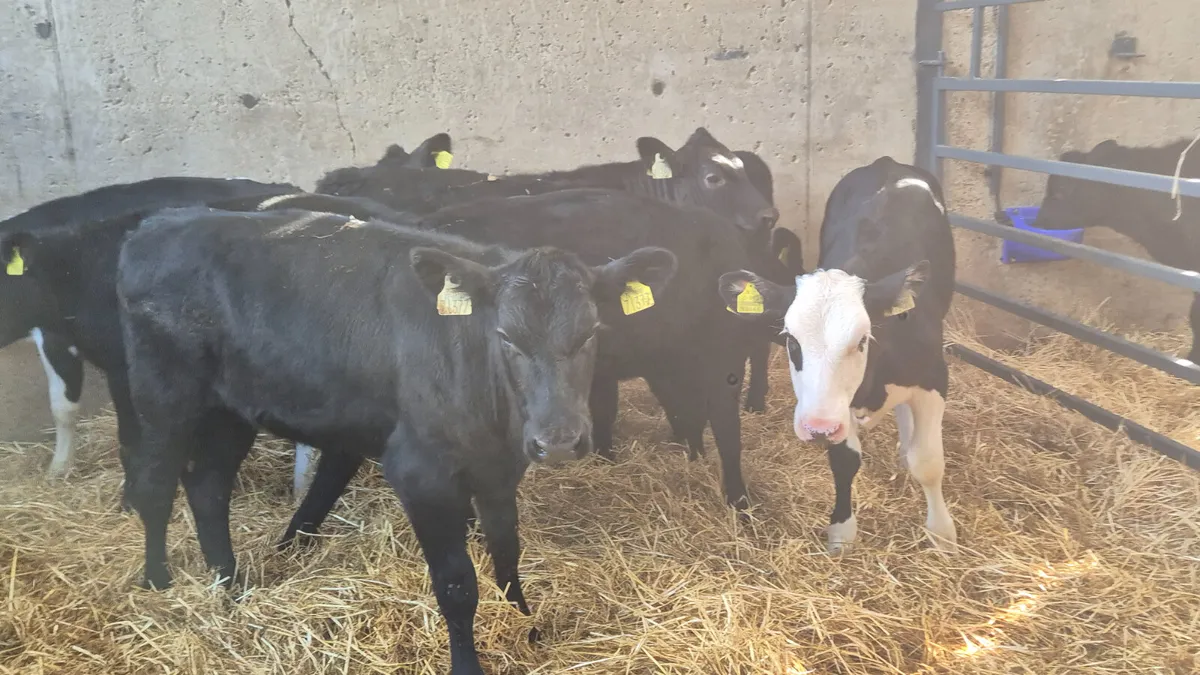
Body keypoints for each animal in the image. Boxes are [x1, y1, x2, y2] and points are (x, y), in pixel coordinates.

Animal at [104, 206, 675, 675]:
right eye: (506, 337)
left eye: (591, 332)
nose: (557, 442)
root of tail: (157, 224)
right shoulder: (422, 473)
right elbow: (456, 582)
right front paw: (468, 665)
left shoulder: (497, 467)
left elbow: (507, 553)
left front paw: (525, 624)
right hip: (163, 396)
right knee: (157, 484)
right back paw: (158, 581)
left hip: (230, 410)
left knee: (208, 487)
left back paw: (228, 588)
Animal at [718, 156, 958, 554]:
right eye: (791, 341)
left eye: (862, 341)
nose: (817, 428)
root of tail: (887, 163)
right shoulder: (836, 405)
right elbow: (845, 460)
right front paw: (842, 532)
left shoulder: (934, 379)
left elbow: (928, 461)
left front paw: (941, 534)